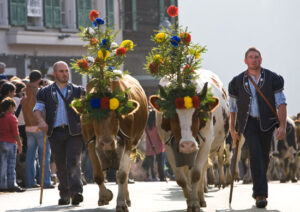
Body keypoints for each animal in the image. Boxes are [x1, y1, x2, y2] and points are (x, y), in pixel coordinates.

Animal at [78, 73, 148, 211]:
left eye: (116, 116)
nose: (107, 143)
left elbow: (122, 174)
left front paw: (121, 203)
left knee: (125, 171)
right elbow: (98, 174)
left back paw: (127, 199)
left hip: (134, 143)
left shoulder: (128, 143)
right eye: (93, 116)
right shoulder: (90, 144)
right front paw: (105, 196)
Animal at [150, 69, 230, 210]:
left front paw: (195, 203)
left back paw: (204, 195)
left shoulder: (205, 143)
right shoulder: (169, 147)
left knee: (210, 165)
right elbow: (181, 179)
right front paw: (189, 201)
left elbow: (196, 174)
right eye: (172, 115)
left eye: (197, 113)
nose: (187, 144)